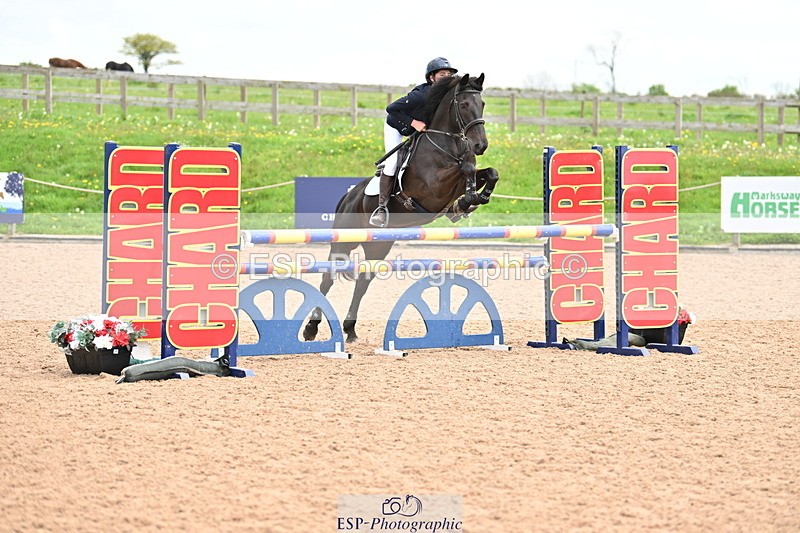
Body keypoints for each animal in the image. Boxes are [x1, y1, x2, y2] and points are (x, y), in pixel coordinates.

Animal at [302, 73, 500, 344]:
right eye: (463, 105)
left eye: (482, 104)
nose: (480, 145)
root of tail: (348, 196)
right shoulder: (434, 186)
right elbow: (466, 168)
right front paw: (468, 197)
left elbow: (488, 172)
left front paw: (470, 201)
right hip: (345, 241)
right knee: (327, 278)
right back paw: (311, 328)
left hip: (378, 245)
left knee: (363, 282)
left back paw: (350, 329)